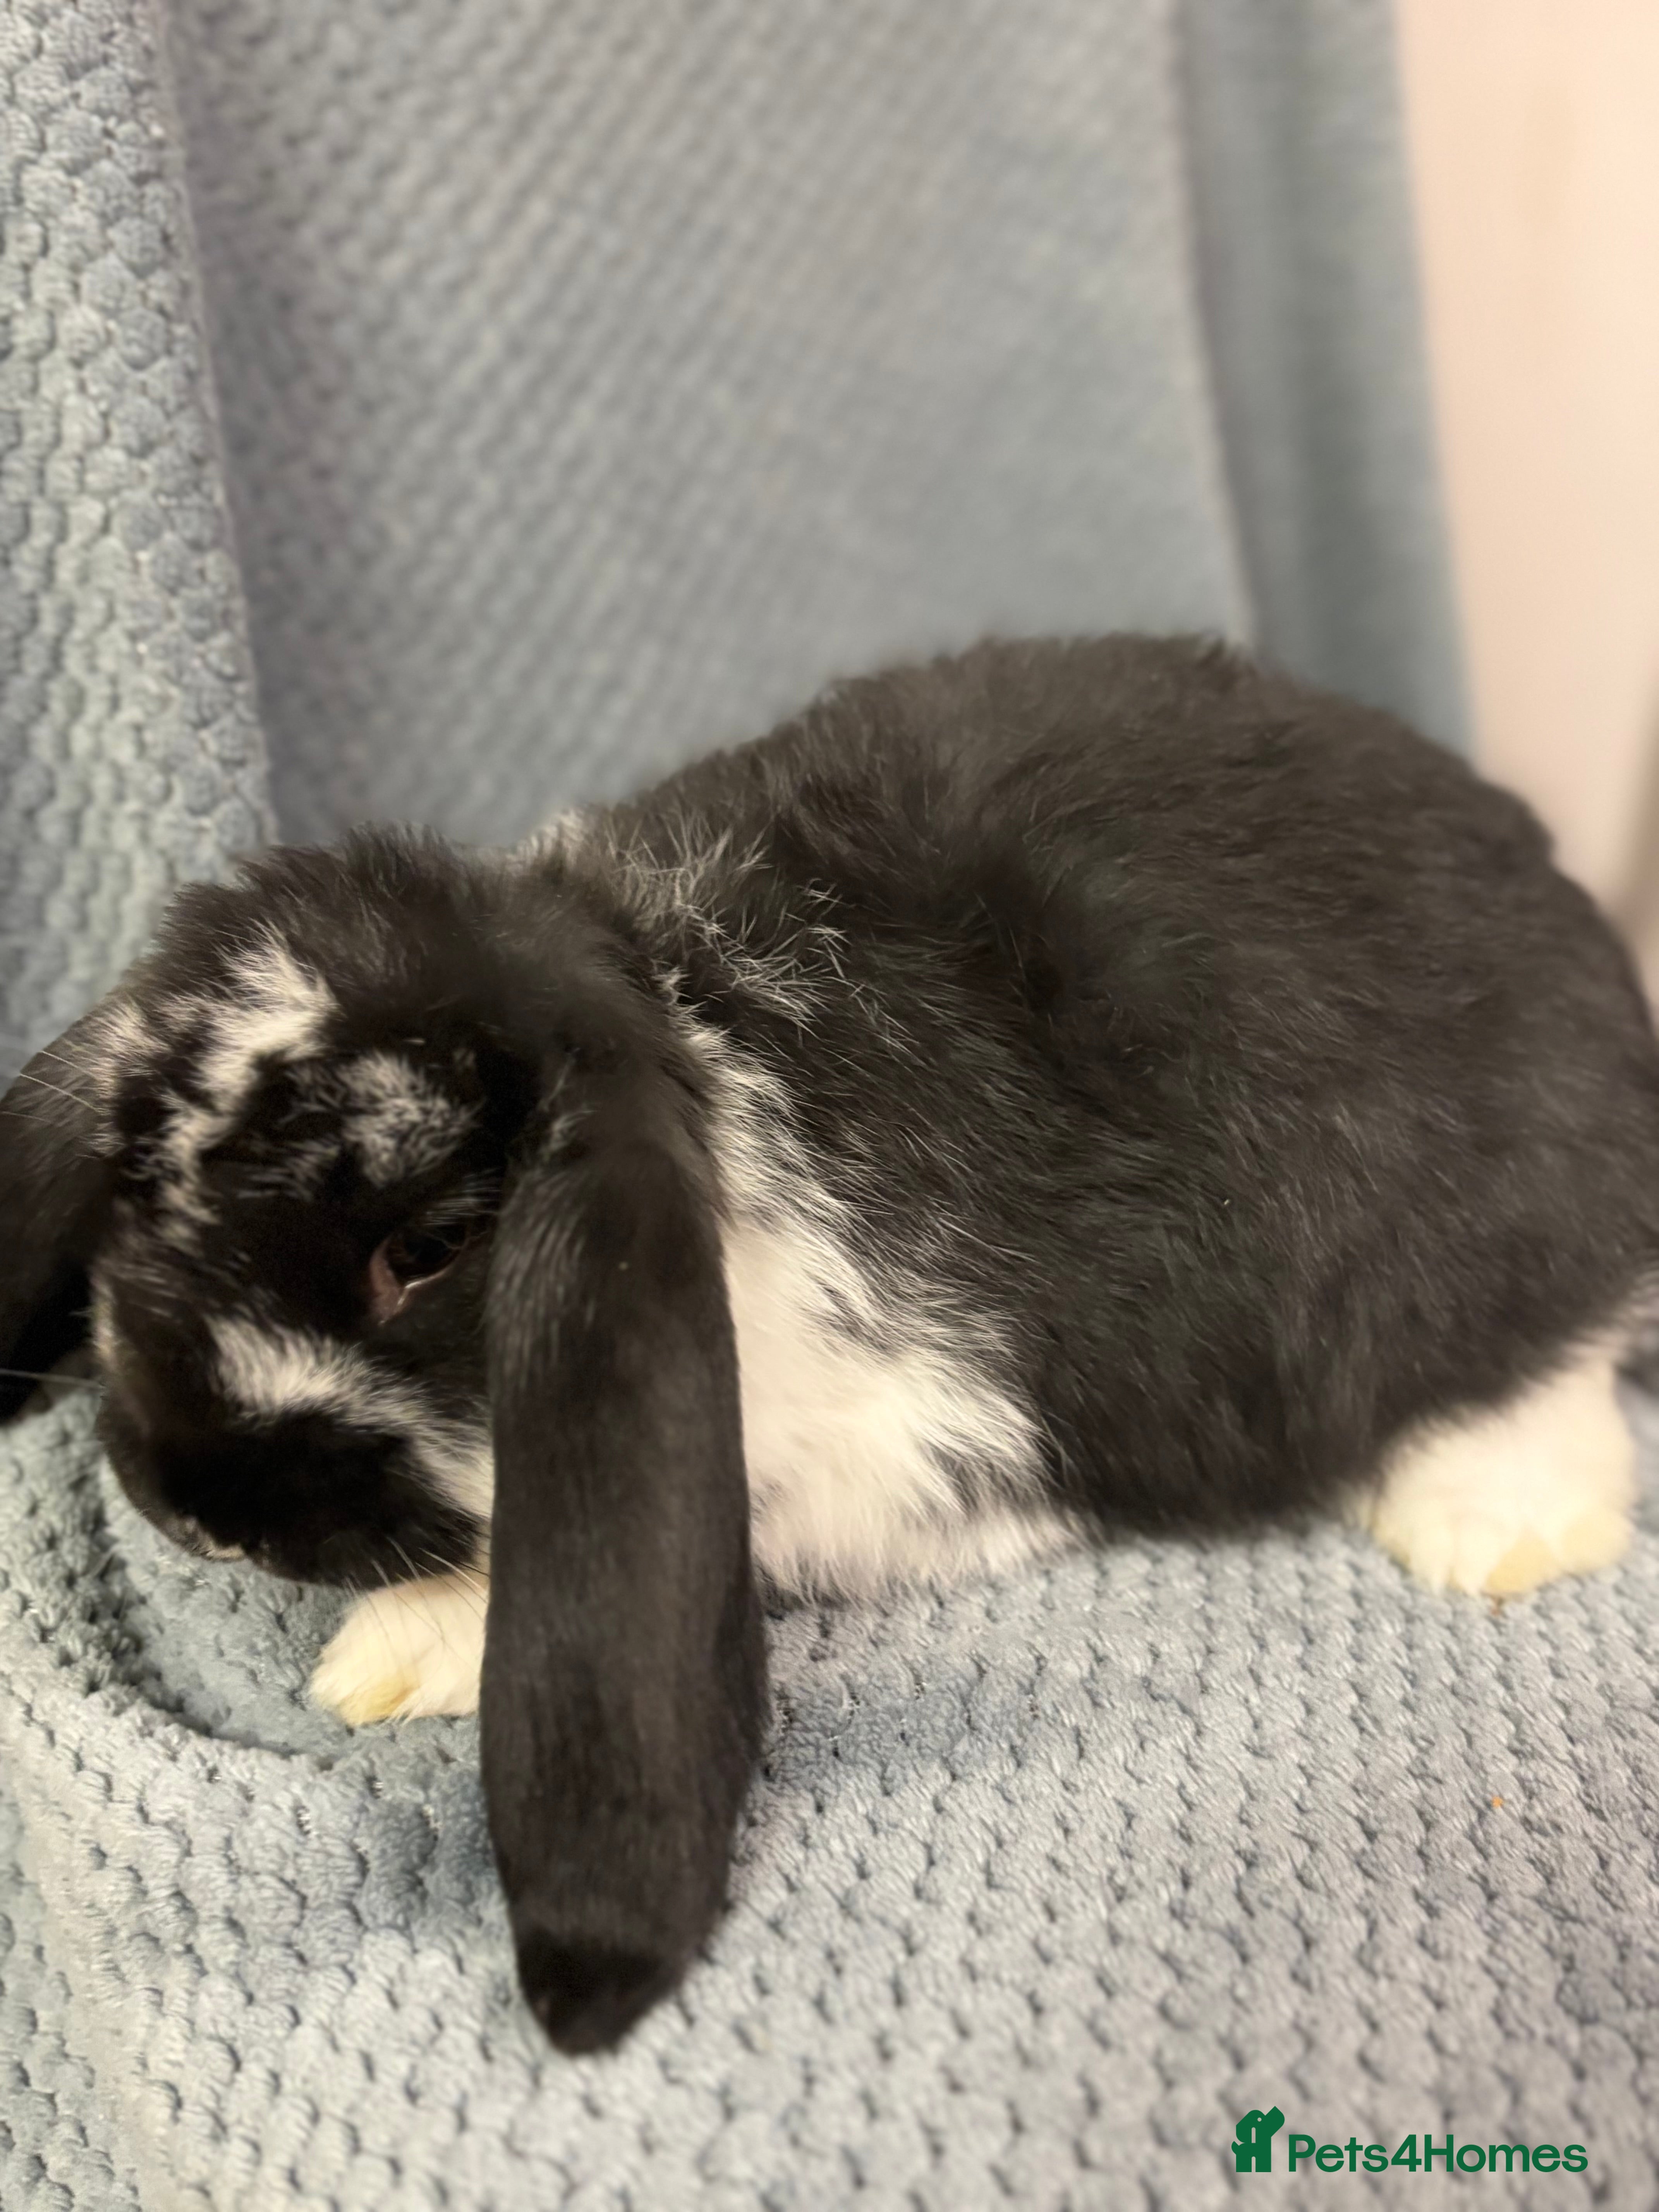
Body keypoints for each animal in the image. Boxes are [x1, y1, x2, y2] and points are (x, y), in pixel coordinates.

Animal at [5, 633, 1659, 2054]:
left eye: (427, 1248)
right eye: (136, 1186)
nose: (192, 1510)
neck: (686, 1020)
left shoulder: (922, 1441)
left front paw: (395, 1651)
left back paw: (1493, 1531)